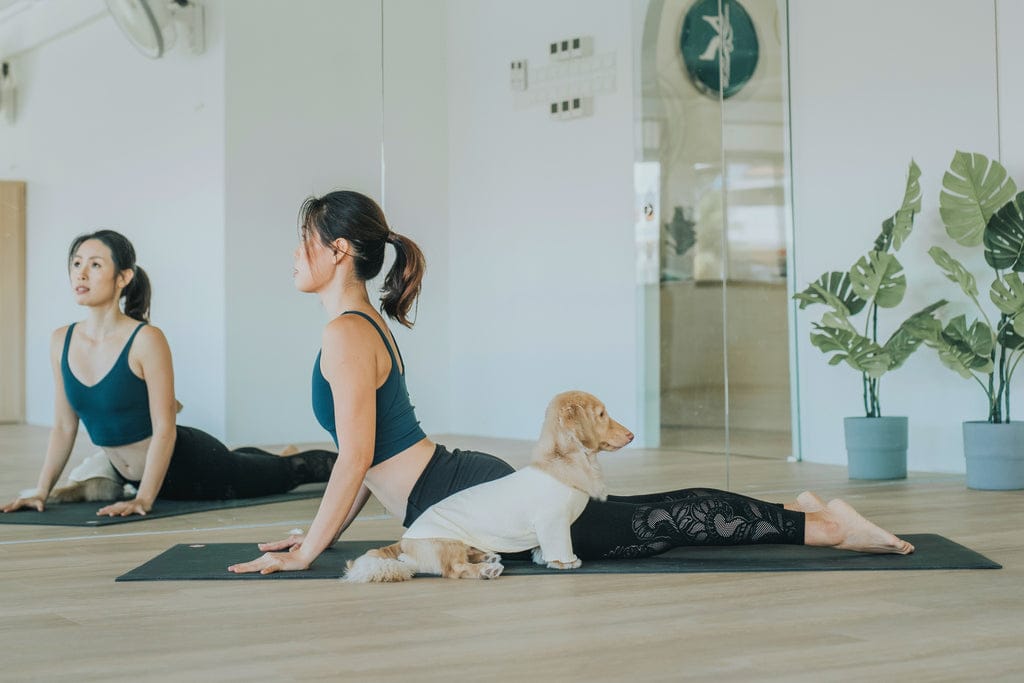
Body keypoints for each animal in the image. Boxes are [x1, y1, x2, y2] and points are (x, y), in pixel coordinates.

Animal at [344, 389, 630, 581]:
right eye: (601, 414)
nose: (632, 435)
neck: (562, 461)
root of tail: (404, 542)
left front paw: (540, 557)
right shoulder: (553, 522)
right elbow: (558, 546)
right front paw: (565, 562)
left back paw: (487, 556)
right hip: (448, 541)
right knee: (454, 569)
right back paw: (486, 569)